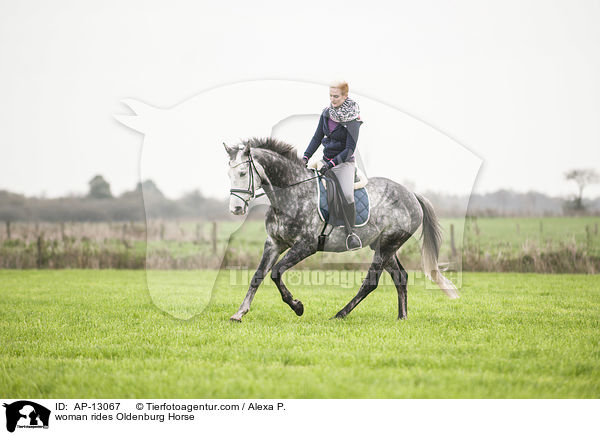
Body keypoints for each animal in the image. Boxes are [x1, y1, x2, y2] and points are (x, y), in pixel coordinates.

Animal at [226, 138, 460, 322]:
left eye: (243, 173)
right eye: (229, 174)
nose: (236, 209)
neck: (291, 194)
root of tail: (411, 194)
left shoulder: (306, 245)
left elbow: (276, 272)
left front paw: (297, 306)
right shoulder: (274, 243)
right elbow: (258, 276)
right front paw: (239, 313)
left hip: (387, 244)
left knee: (371, 282)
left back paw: (340, 314)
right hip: (383, 246)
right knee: (400, 277)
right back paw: (402, 317)